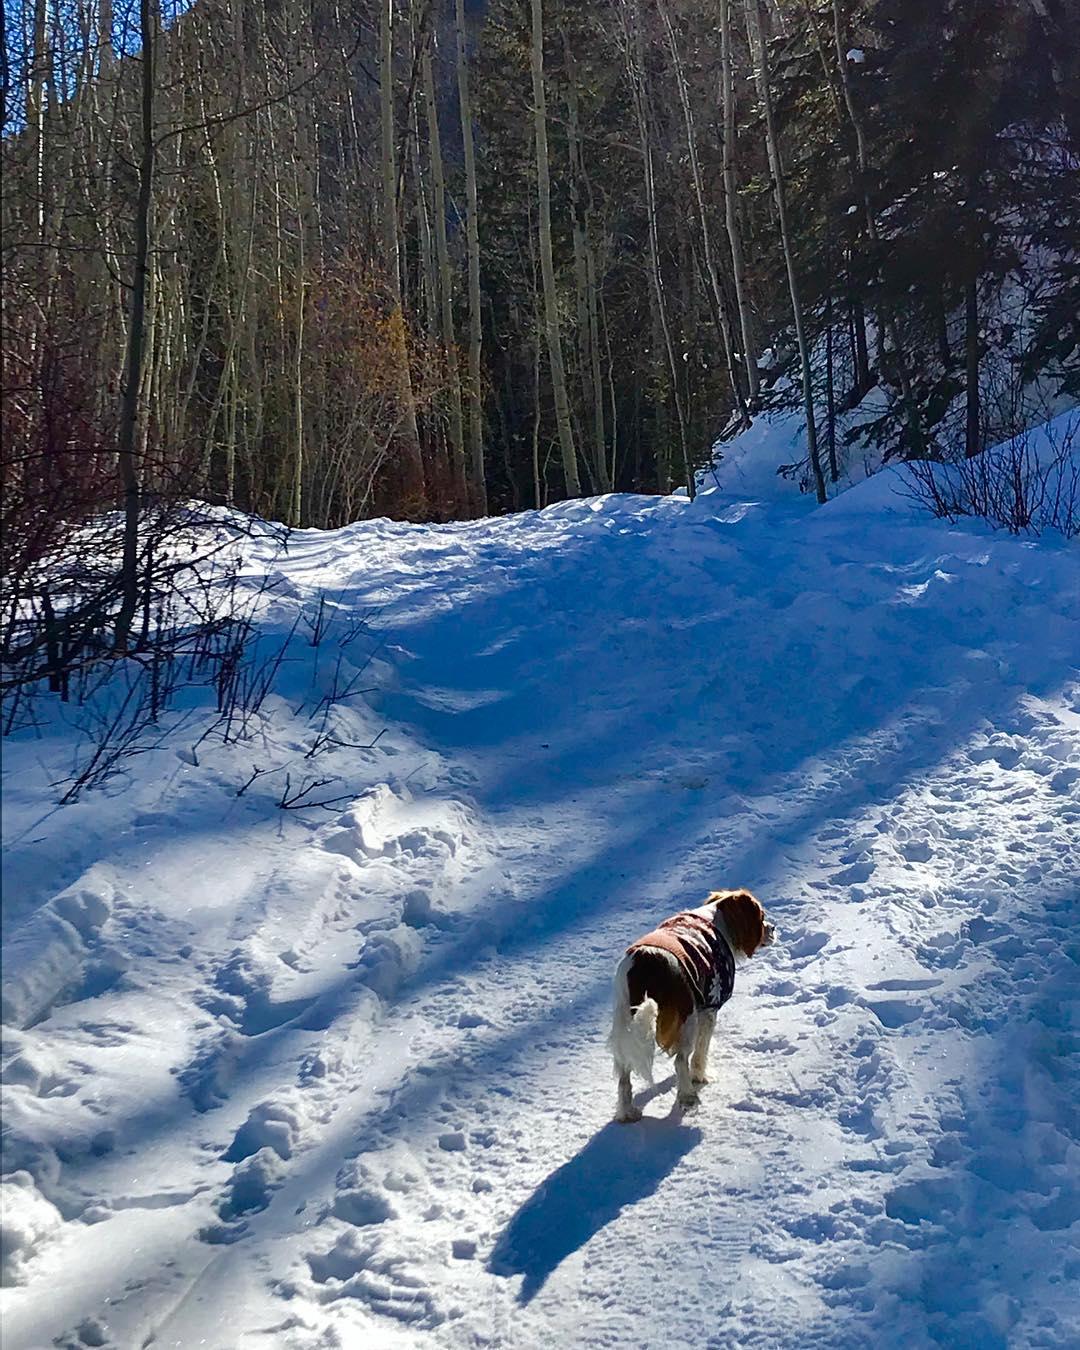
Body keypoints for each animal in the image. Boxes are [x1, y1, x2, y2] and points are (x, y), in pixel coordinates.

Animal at [607, 891, 777, 1123]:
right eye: (762, 917)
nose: (773, 928)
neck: (716, 918)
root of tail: (645, 962)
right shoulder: (709, 1007)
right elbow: (700, 1051)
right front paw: (700, 1077)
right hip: (687, 1019)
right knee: (680, 1060)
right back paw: (688, 1097)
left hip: (624, 1020)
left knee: (624, 1074)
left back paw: (626, 1113)